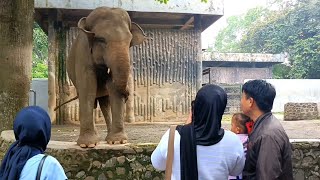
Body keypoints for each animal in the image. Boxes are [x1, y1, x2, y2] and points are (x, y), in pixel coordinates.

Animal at [66, 7, 146, 148]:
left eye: (129, 41)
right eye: (101, 40)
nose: (127, 94)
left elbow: (113, 89)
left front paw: (118, 141)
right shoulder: (83, 53)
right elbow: (88, 87)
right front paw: (87, 145)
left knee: (105, 103)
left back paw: (107, 137)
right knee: (91, 100)